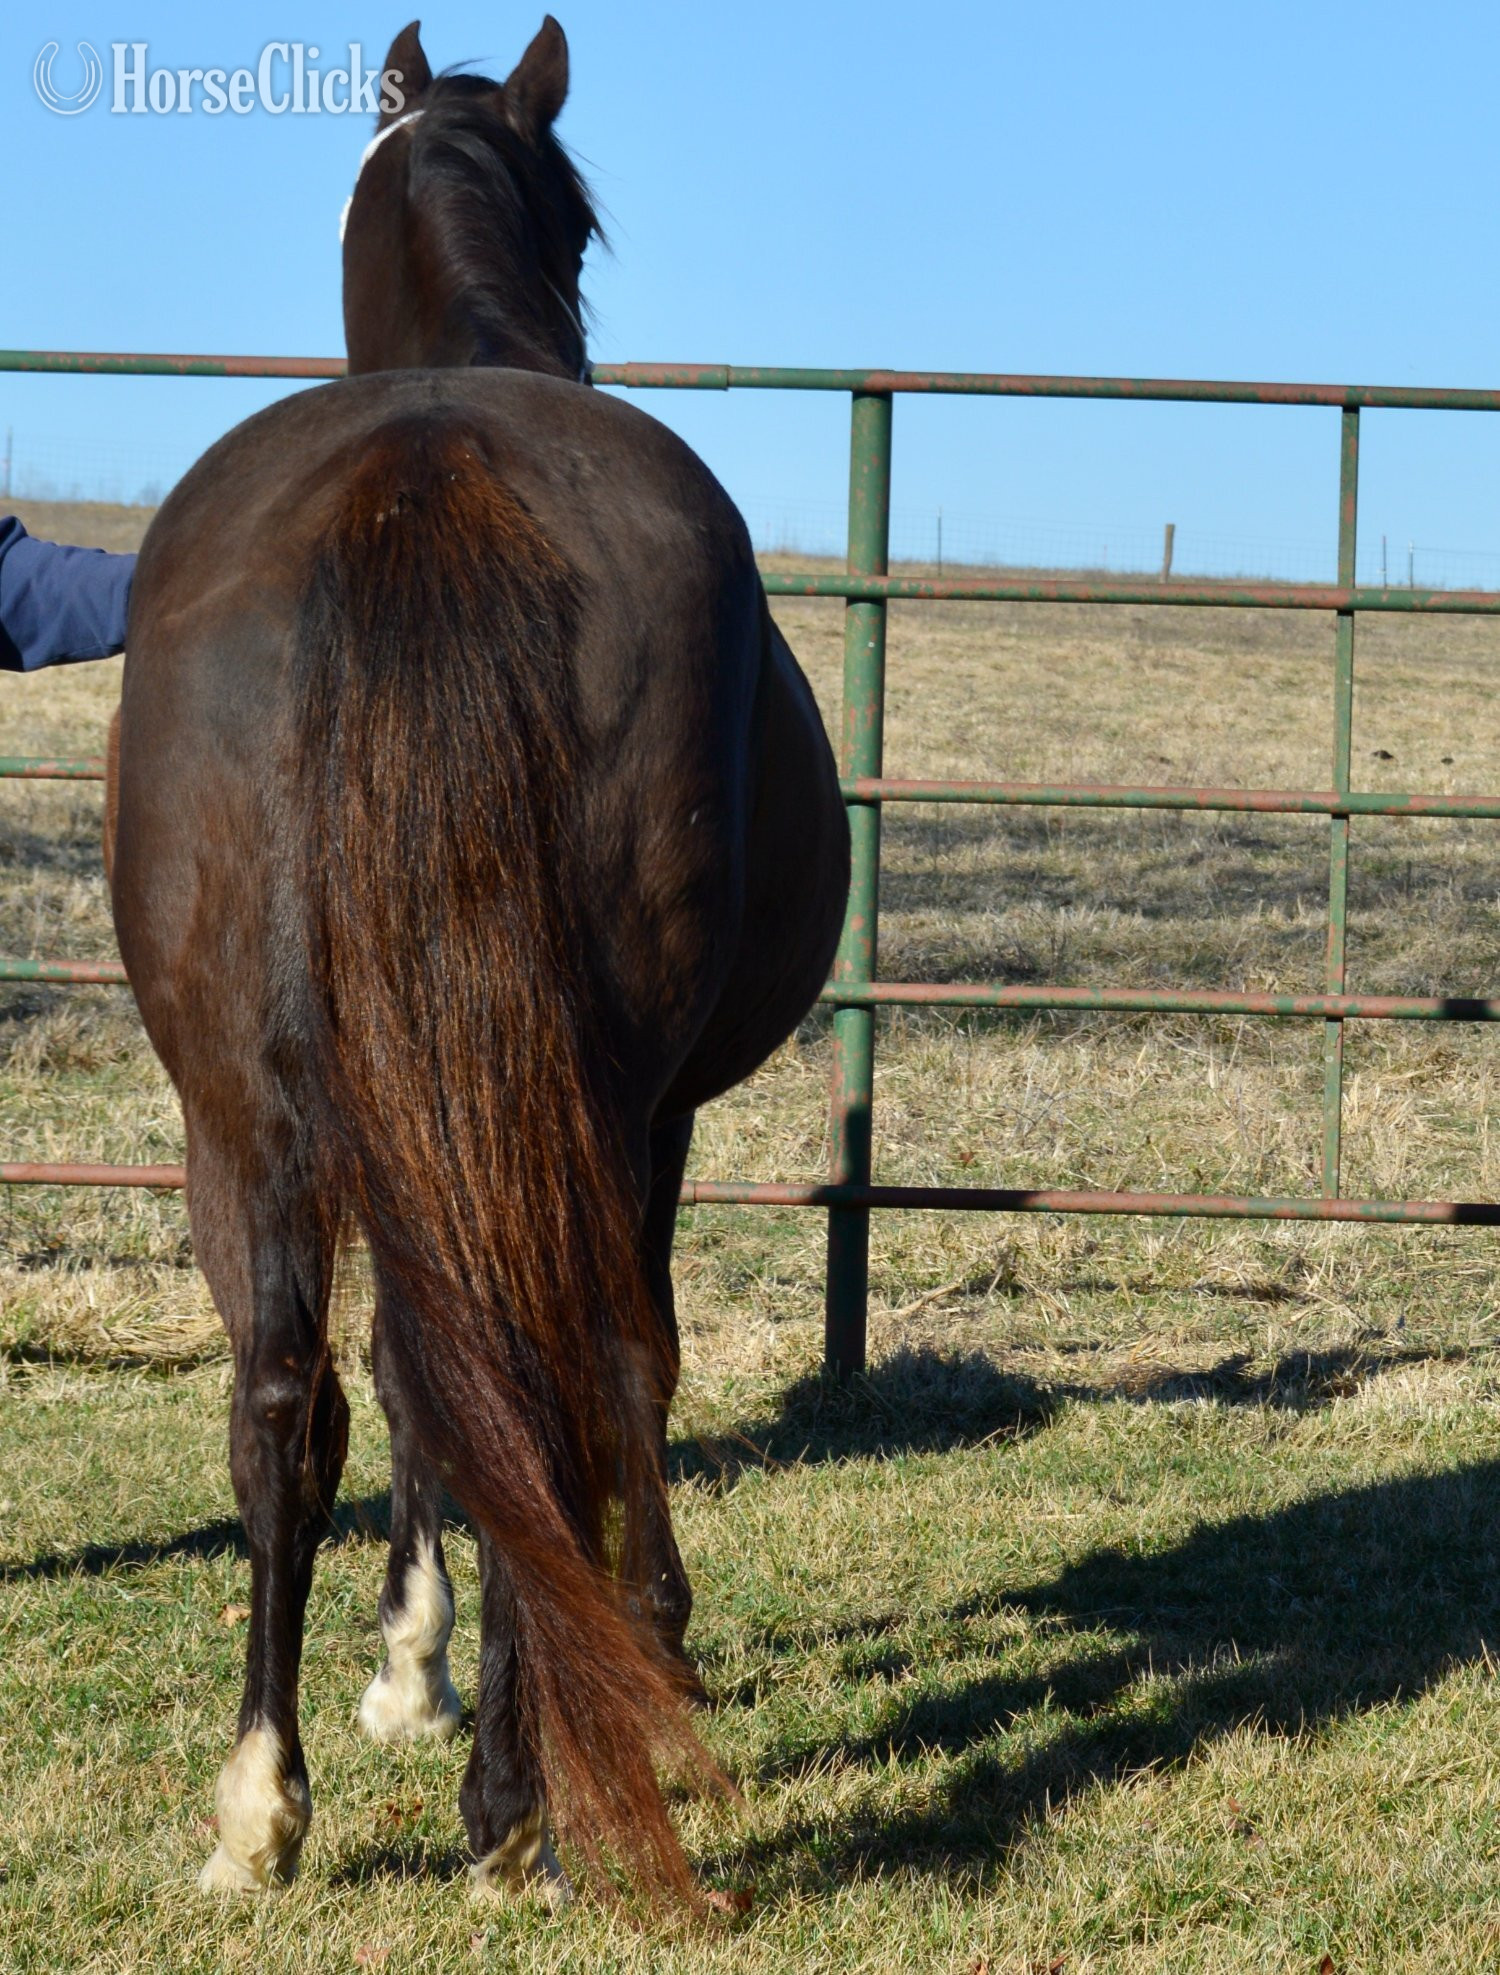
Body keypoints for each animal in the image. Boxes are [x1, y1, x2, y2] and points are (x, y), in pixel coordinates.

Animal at [107, 15, 849, 1907]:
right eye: (581, 225)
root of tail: (423, 474)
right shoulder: (650, 1114)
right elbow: (612, 1368)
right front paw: (621, 1645)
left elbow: (395, 1380)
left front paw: (413, 1665)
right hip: (575, 1097)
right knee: (547, 1363)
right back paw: (519, 1798)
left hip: (249, 1113)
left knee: (283, 1399)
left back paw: (263, 1801)